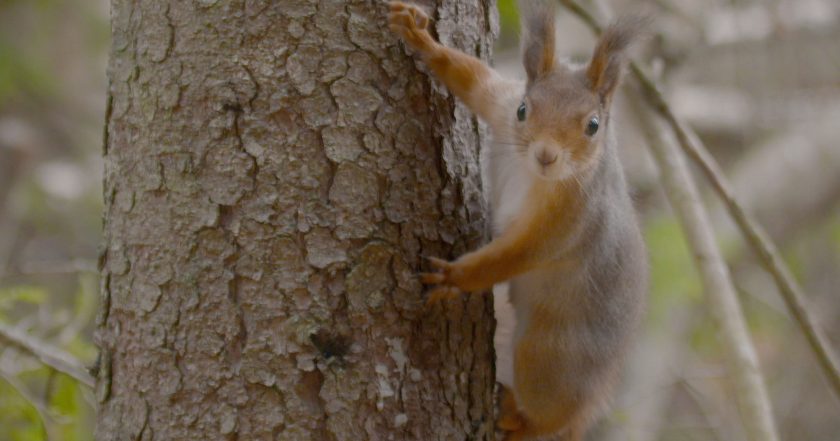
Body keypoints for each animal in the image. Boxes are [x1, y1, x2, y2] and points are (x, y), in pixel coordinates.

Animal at [388, 1, 648, 438]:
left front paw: (453, 278)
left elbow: (513, 256)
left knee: (546, 416)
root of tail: (589, 403)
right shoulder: (501, 105)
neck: (535, 176)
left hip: (547, 356)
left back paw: (518, 417)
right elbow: (473, 82)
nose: (546, 155)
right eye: (525, 110)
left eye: (593, 126)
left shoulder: (570, 219)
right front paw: (421, 37)